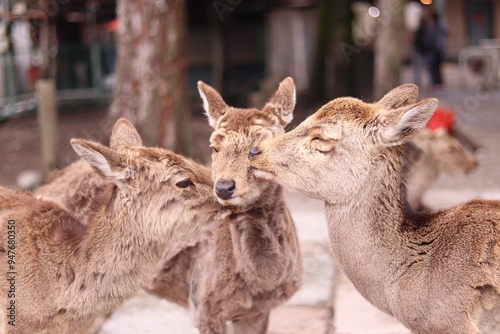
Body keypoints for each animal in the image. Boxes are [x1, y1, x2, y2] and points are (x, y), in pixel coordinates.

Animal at [146, 76, 302, 334]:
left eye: (260, 147)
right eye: (214, 147)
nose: (224, 187)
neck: (260, 283)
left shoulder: (256, 312)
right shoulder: (203, 305)